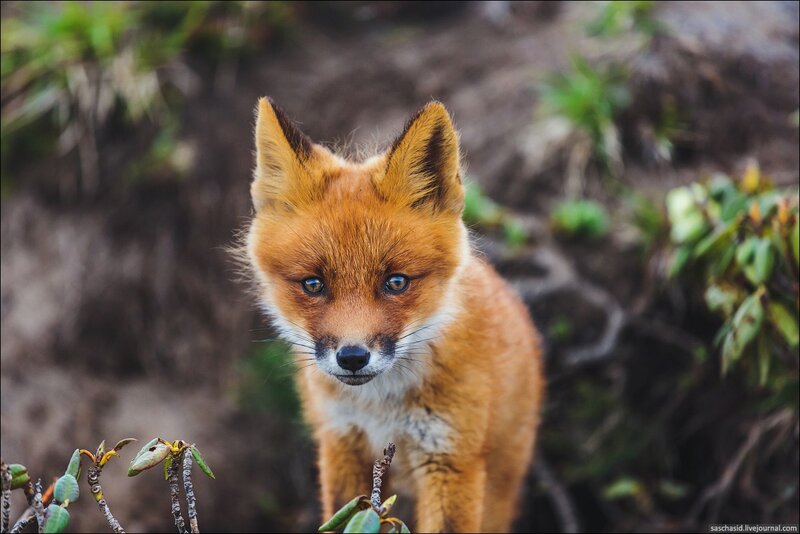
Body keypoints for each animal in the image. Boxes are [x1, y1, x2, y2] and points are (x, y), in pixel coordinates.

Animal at [244, 97, 545, 533]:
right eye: (313, 284)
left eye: (396, 282)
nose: (353, 357)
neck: (381, 408)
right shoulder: (341, 443)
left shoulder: (450, 457)